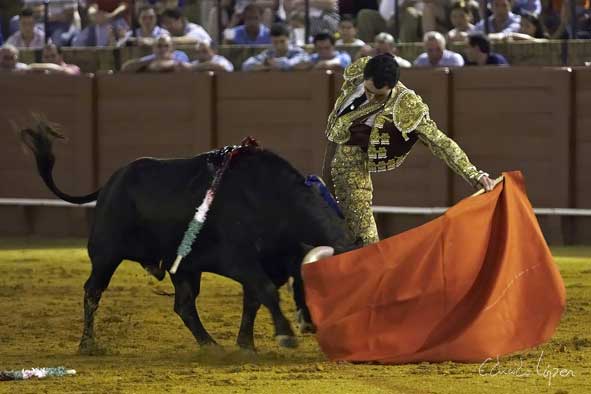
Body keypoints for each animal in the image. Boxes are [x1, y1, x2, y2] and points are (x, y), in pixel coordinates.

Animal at [20, 122, 358, 350]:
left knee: (183, 304)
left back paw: (211, 345)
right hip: (105, 254)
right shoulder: (239, 260)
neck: (272, 200)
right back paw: (88, 344)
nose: (317, 326)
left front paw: (245, 344)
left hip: (183, 267)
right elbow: (264, 292)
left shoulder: (270, 263)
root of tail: (110, 182)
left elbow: (254, 299)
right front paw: (284, 335)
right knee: (93, 291)